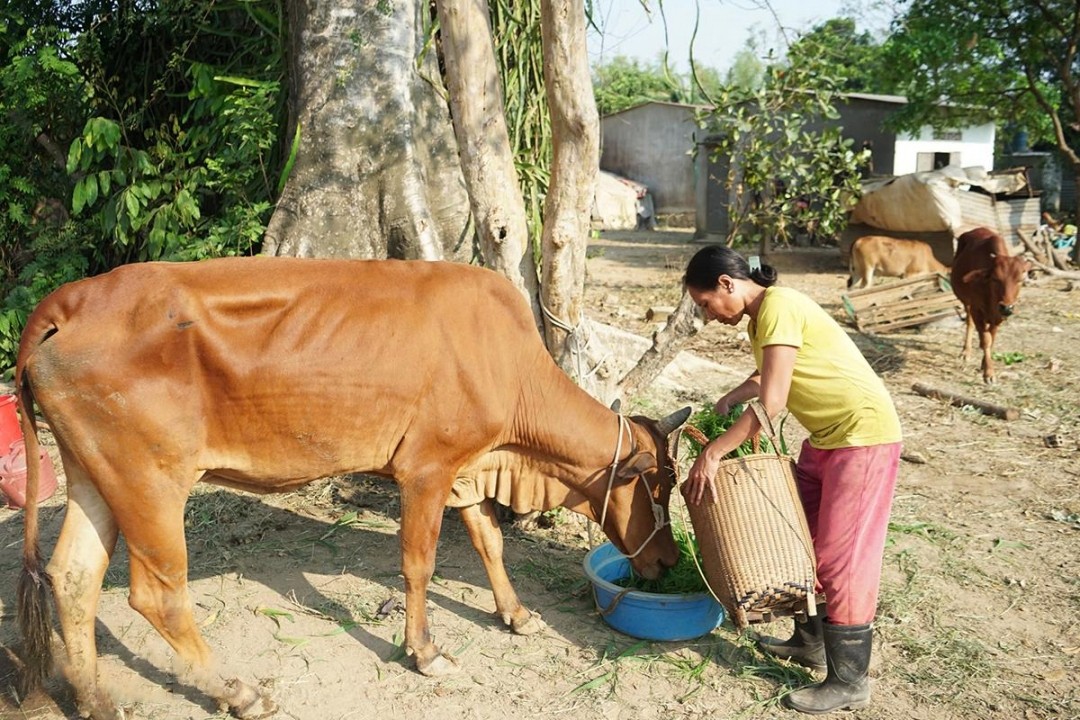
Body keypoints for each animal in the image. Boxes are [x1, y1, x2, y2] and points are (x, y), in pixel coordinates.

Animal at [14, 259, 691, 720]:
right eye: (661, 485)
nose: (668, 562)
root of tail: (68, 300)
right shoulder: (426, 469)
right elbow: (419, 565)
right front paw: (424, 651)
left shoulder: (466, 468)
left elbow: (489, 543)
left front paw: (517, 614)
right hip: (151, 481)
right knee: (158, 596)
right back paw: (239, 691)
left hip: (97, 475)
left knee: (73, 578)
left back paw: (98, 700)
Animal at [950, 227, 1032, 386]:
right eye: (995, 279)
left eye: (1020, 280)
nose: (1007, 307)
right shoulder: (976, 310)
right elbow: (986, 340)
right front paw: (989, 373)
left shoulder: (998, 316)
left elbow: (991, 337)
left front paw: (984, 364)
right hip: (966, 302)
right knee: (969, 323)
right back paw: (966, 351)